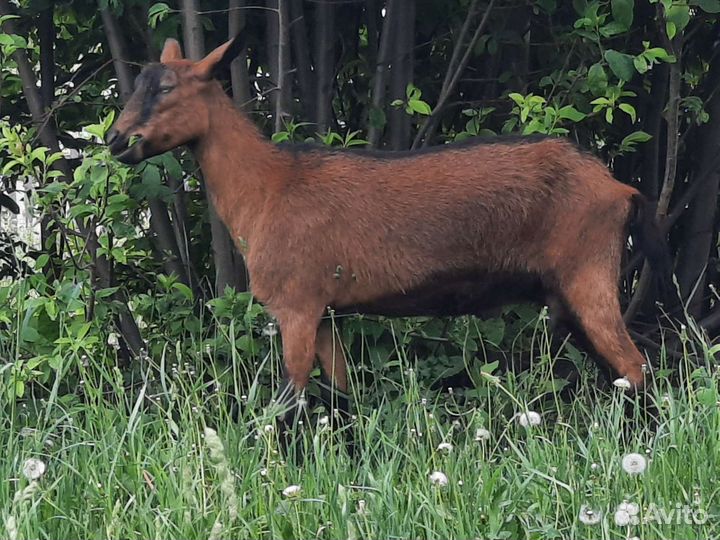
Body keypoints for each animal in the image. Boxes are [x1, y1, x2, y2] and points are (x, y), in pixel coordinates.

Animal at [106, 37, 670, 428]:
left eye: (165, 88)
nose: (116, 140)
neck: (269, 186)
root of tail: (618, 187)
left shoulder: (295, 306)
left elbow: (288, 400)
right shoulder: (324, 312)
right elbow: (342, 397)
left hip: (588, 275)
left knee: (636, 367)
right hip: (566, 294)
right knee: (620, 374)